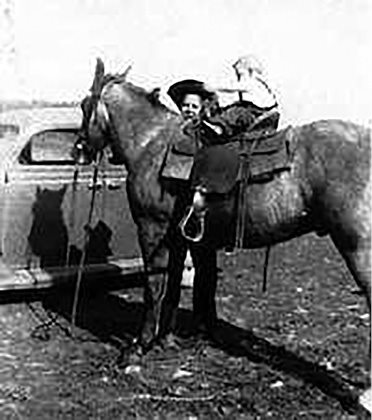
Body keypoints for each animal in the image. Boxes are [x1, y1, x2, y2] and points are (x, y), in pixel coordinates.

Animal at [74, 60, 370, 410]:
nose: (78, 151)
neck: (151, 144)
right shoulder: (180, 239)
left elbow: (154, 286)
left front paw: (138, 347)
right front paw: (165, 340)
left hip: (358, 248)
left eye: (84, 104)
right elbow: (175, 286)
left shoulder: (152, 229)